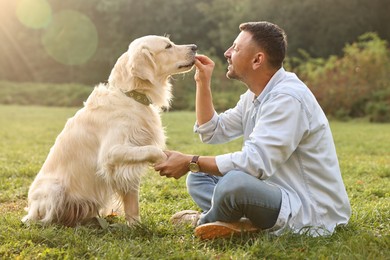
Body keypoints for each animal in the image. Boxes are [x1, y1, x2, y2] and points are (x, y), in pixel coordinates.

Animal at [22, 35, 197, 226]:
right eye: (168, 46)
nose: (195, 47)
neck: (131, 96)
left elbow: (132, 203)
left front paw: (135, 226)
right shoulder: (111, 153)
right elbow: (153, 150)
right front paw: (165, 160)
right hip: (53, 189)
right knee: (42, 219)